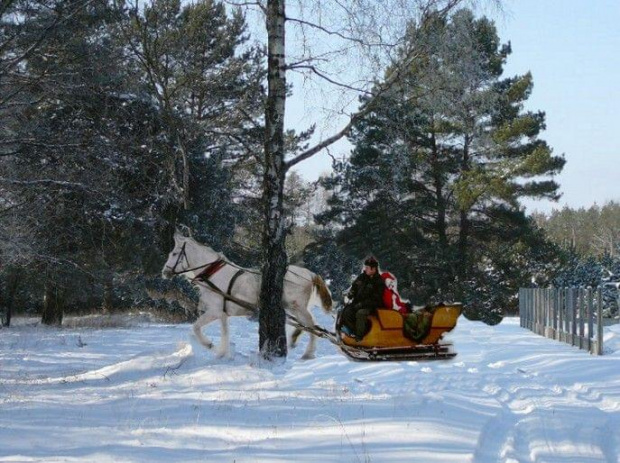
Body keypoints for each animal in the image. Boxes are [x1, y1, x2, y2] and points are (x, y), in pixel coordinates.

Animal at [162, 234, 332, 360]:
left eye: (175, 254)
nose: (165, 272)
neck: (213, 275)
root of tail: (309, 274)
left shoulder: (214, 312)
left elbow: (196, 327)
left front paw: (208, 344)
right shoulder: (222, 314)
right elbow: (225, 333)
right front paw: (223, 354)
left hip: (298, 307)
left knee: (311, 325)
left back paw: (308, 353)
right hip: (295, 308)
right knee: (307, 325)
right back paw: (295, 340)